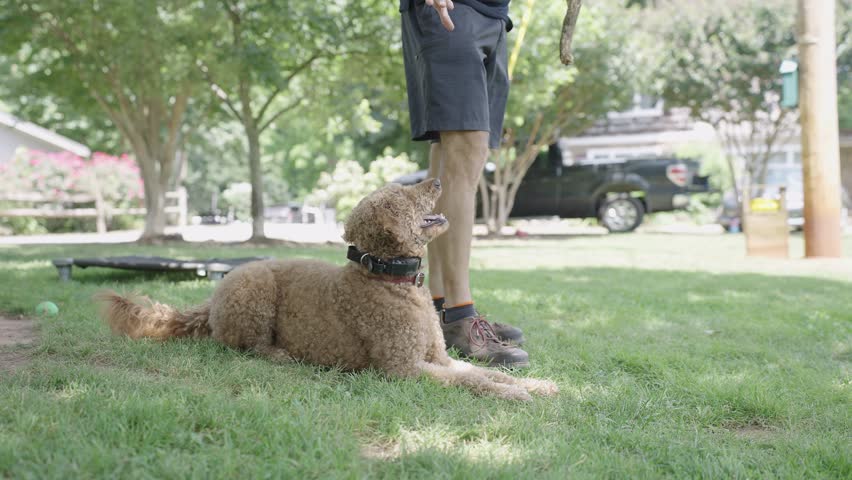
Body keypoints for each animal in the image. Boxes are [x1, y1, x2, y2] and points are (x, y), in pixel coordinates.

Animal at [98, 178, 560, 400]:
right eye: (403, 194)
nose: (435, 181)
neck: (388, 279)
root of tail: (209, 302)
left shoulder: (439, 359)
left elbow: (480, 372)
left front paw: (538, 385)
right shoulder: (403, 369)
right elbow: (473, 383)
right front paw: (513, 394)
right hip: (255, 290)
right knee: (246, 346)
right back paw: (280, 355)